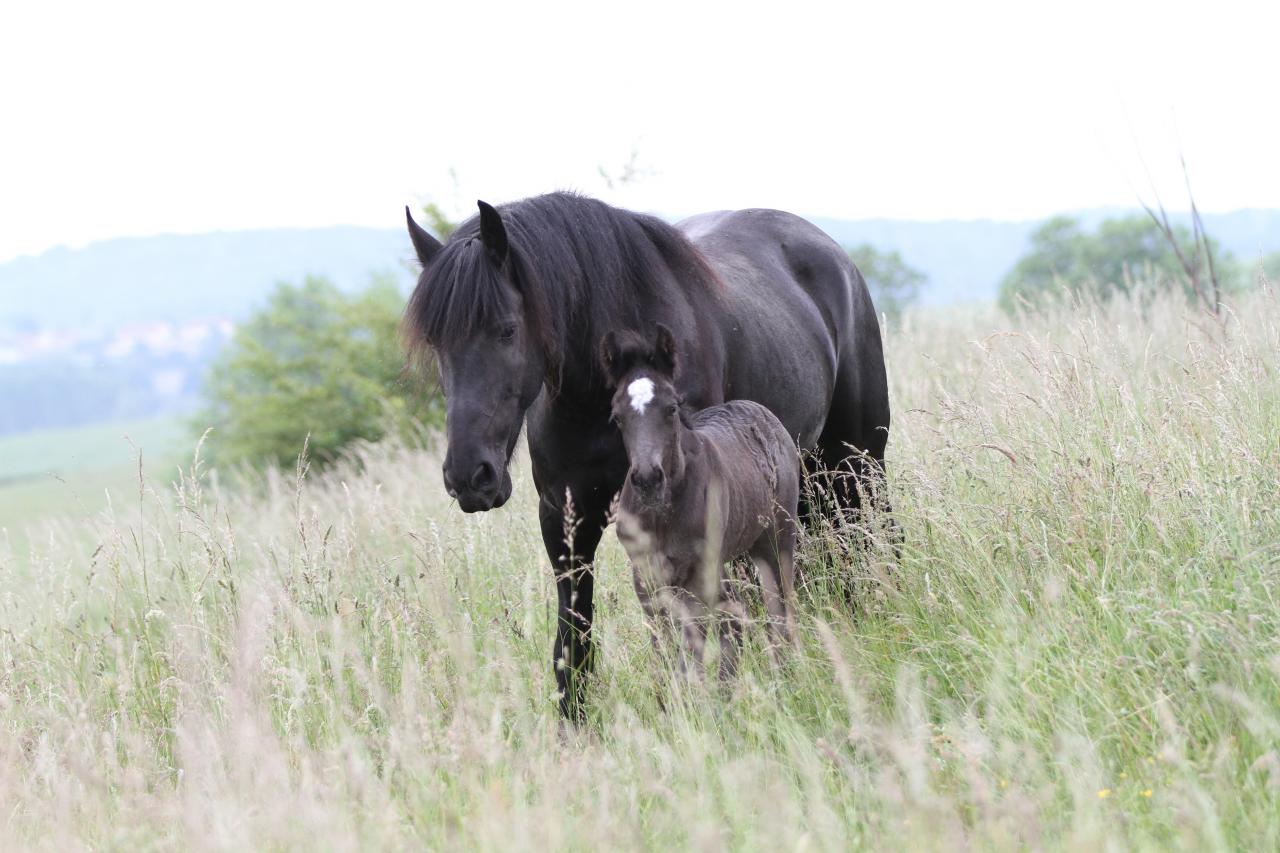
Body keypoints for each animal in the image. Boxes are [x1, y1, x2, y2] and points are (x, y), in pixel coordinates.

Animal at [601, 322, 798, 681]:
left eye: (672, 408)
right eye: (617, 417)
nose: (648, 480)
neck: (662, 515)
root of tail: (760, 411)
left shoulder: (696, 576)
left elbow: (690, 650)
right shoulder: (645, 578)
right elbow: (663, 650)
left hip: (776, 542)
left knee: (780, 611)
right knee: (737, 616)